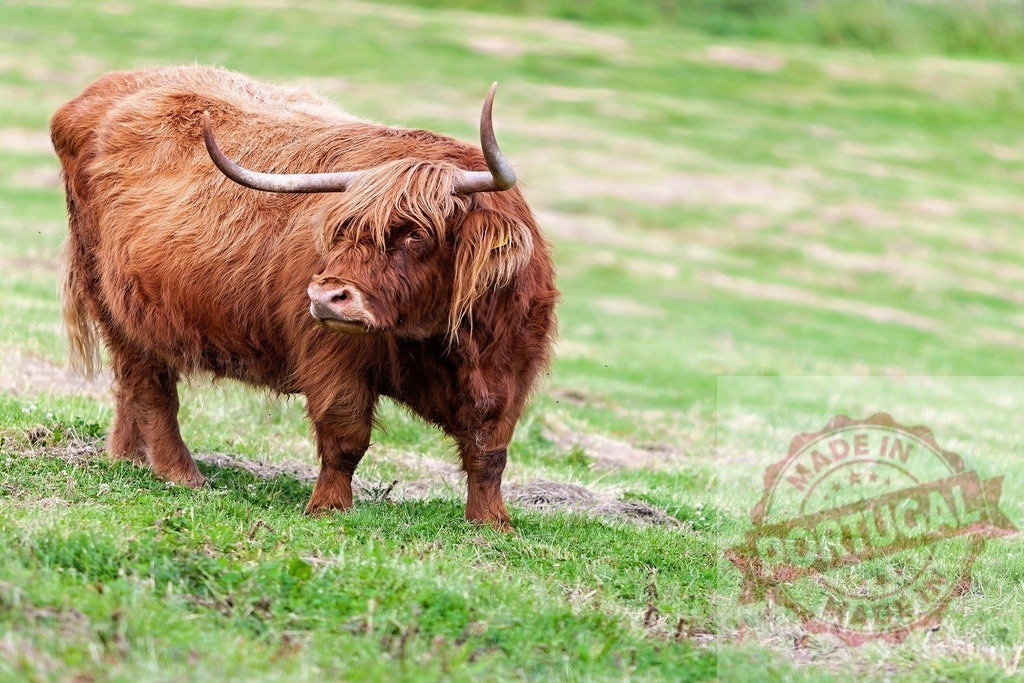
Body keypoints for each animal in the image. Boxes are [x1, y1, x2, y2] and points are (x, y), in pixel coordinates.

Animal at [50, 66, 558, 529]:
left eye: (417, 233)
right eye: (339, 230)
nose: (327, 297)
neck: (442, 340)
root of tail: (101, 89)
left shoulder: (511, 369)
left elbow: (489, 450)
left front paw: (490, 524)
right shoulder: (334, 360)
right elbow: (346, 437)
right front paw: (329, 508)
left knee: (132, 386)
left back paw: (126, 458)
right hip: (114, 301)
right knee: (150, 387)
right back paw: (182, 475)